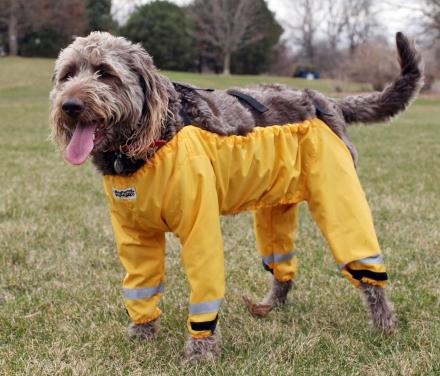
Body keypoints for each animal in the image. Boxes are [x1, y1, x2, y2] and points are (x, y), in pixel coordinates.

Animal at [49, 30, 424, 360]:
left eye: (105, 73)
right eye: (68, 74)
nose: (70, 105)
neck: (146, 145)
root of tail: (323, 99)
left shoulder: (200, 230)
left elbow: (204, 296)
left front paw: (200, 354)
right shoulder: (135, 236)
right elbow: (141, 287)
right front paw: (141, 336)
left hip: (339, 199)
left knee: (368, 272)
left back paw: (385, 325)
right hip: (276, 208)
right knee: (283, 267)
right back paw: (269, 307)